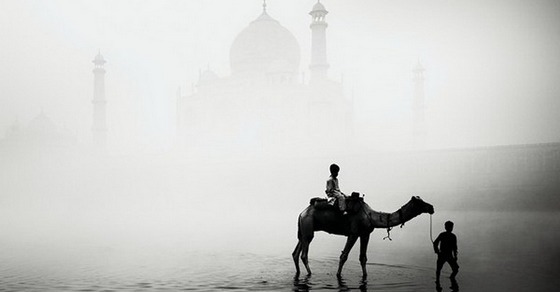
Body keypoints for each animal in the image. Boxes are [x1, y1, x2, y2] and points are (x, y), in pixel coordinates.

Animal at [290, 195, 436, 278]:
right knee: (304, 254)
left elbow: (363, 258)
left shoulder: (365, 234)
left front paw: (365, 275)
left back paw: (299, 272)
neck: (371, 216)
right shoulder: (353, 233)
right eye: (420, 203)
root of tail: (301, 213)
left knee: (295, 252)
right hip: (308, 228)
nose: (432, 207)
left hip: (303, 230)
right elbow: (344, 256)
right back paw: (310, 273)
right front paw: (337, 275)